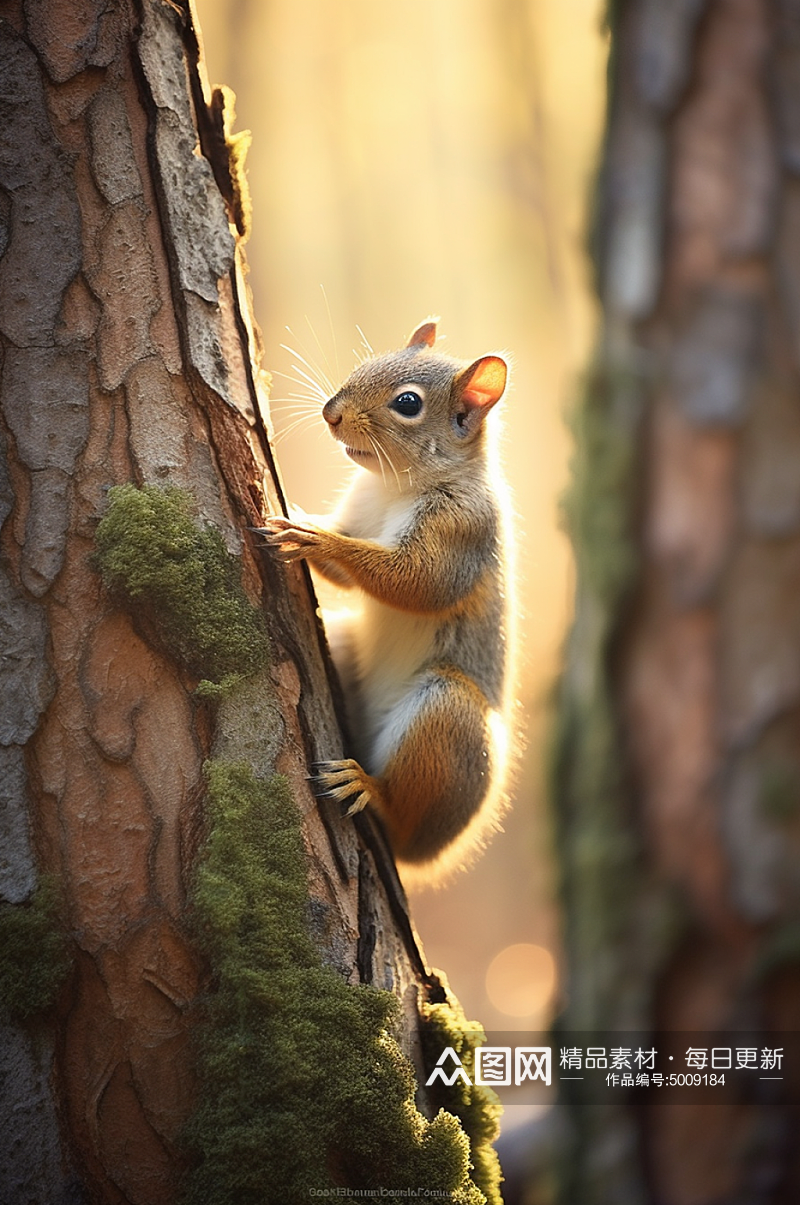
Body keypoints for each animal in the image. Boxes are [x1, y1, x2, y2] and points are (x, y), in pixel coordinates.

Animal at [259, 320, 515, 882]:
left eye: (407, 403)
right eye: (367, 363)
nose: (331, 411)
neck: (395, 487)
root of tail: (426, 856)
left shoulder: (462, 531)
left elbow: (416, 582)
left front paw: (317, 539)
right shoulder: (361, 506)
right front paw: (299, 516)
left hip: (449, 719)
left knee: (401, 816)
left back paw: (370, 790)